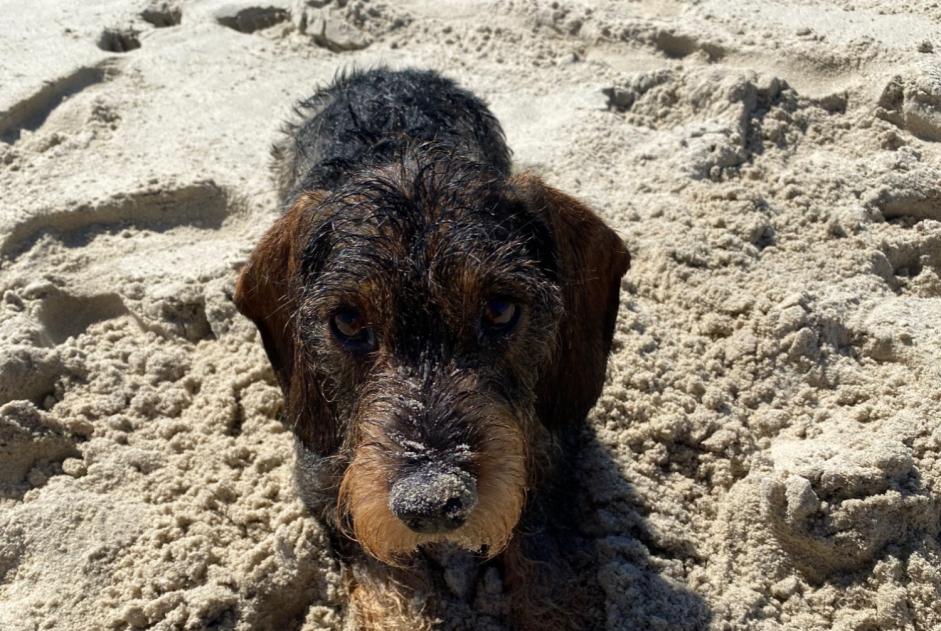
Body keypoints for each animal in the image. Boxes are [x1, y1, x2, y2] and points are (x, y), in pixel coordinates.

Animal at [235, 69, 632, 631]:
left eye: (500, 309)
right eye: (348, 321)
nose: (431, 503)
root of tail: (387, 72)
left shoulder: (551, 462)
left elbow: (545, 568)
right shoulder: (333, 496)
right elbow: (389, 593)